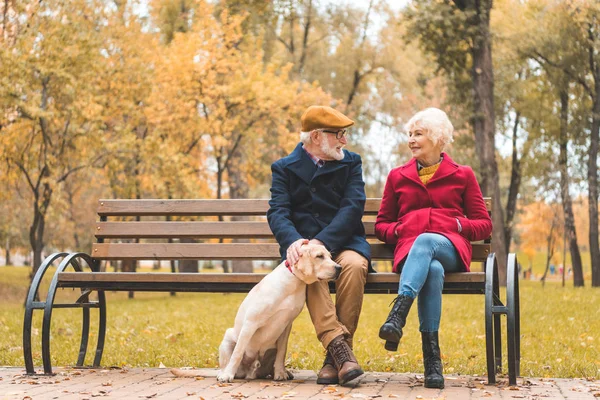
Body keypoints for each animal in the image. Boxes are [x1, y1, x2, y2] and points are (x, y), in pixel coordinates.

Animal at [213, 242, 340, 382]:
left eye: (330, 256)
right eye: (319, 256)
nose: (339, 268)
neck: (294, 282)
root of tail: (250, 371)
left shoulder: (287, 325)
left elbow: (282, 352)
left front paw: (280, 373)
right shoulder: (250, 323)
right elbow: (237, 352)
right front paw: (227, 375)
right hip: (228, 337)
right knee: (229, 358)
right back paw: (224, 372)